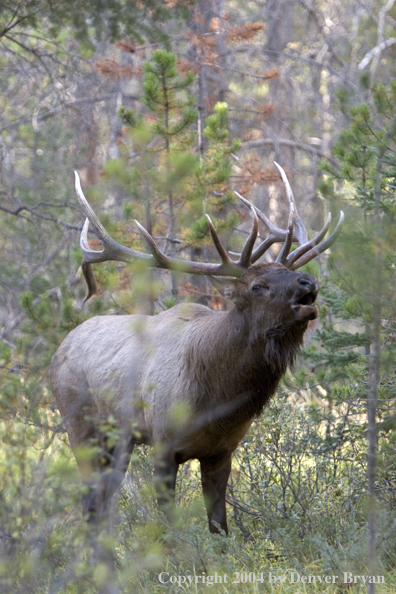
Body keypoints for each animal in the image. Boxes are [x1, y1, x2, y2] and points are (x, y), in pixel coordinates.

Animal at [51, 164, 344, 536]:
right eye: (257, 286)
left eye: (289, 271)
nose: (308, 283)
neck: (217, 401)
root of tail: (59, 348)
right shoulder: (163, 443)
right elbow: (169, 527)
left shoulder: (222, 452)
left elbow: (219, 526)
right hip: (80, 425)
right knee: (90, 502)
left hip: (119, 438)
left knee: (103, 498)